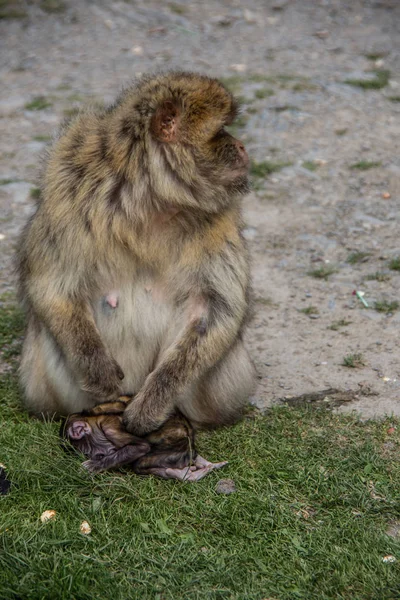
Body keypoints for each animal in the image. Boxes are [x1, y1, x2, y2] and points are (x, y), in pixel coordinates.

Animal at [17, 69, 255, 436]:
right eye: (220, 131)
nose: (242, 147)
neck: (151, 198)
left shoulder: (220, 219)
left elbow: (216, 308)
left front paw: (152, 405)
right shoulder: (68, 193)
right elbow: (52, 286)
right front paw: (99, 372)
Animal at [61, 396, 227, 480]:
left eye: (86, 452)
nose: (97, 456)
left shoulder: (110, 427)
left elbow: (140, 447)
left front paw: (94, 466)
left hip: (173, 449)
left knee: (141, 462)